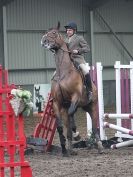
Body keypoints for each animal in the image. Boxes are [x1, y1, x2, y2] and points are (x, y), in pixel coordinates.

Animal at [41, 22, 103, 156]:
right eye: (46, 32)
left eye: (54, 33)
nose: (43, 41)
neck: (63, 72)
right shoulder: (57, 103)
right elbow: (60, 127)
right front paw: (64, 149)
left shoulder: (75, 97)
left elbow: (71, 117)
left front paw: (77, 135)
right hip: (80, 106)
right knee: (70, 119)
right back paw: (70, 149)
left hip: (92, 106)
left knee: (94, 126)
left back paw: (100, 147)